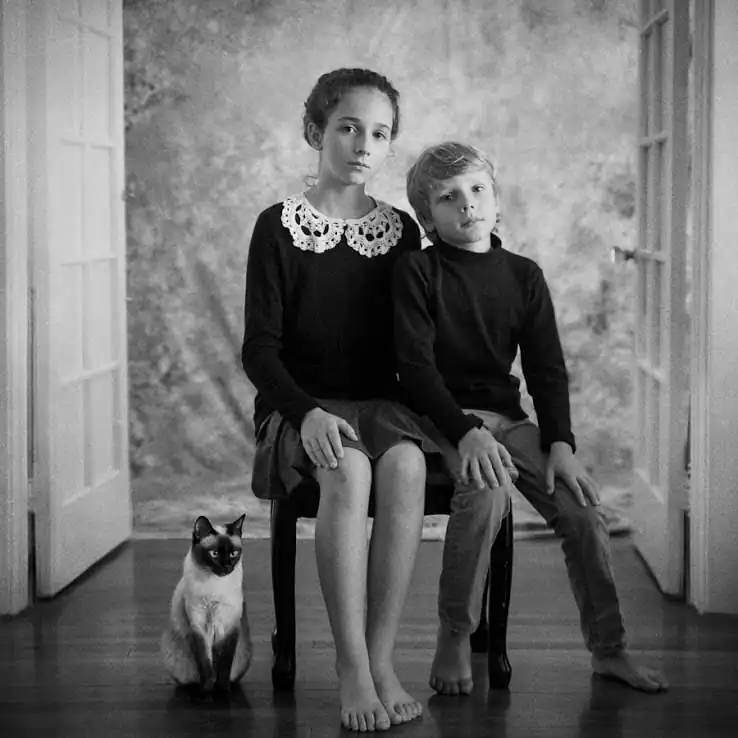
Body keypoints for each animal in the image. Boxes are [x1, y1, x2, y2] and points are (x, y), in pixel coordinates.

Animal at [161, 513, 252, 695]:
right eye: (214, 553)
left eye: (233, 553)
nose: (227, 567)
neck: (214, 585)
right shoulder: (198, 626)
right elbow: (205, 664)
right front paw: (206, 691)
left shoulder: (228, 626)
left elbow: (223, 664)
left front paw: (222, 691)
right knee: (191, 678)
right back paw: (196, 689)